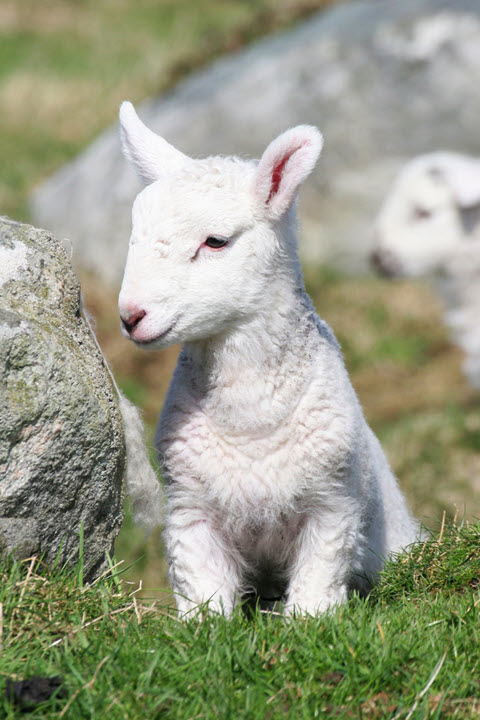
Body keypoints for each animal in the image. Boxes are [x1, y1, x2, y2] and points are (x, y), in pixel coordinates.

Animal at [117, 101, 420, 616]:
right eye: (133, 235)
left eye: (216, 241)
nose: (131, 315)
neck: (250, 424)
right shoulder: (190, 511)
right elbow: (203, 596)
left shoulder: (331, 506)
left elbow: (316, 589)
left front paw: (309, 622)